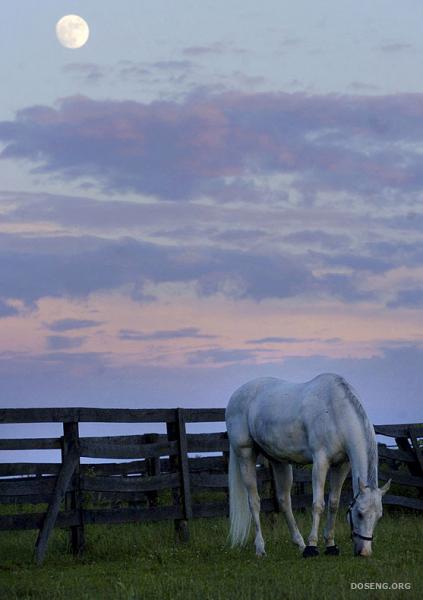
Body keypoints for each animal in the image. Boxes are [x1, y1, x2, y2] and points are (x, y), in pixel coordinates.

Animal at [227, 376, 392, 556]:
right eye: (360, 513)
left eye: (379, 516)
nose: (365, 552)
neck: (335, 411)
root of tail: (236, 395)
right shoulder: (320, 461)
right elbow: (318, 504)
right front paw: (312, 547)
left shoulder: (341, 465)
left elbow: (333, 504)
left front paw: (331, 545)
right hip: (245, 455)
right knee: (254, 502)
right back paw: (261, 548)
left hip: (279, 461)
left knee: (284, 501)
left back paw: (300, 544)